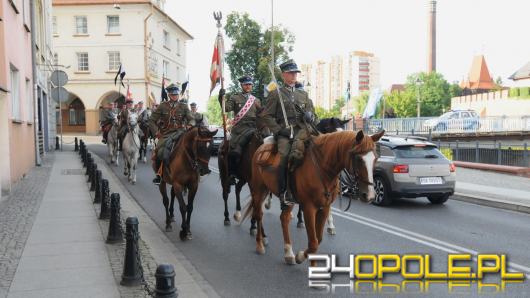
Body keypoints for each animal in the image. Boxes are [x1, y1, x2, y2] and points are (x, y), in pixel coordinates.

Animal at [241, 129, 382, 264]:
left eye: (375, 158)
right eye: (359, 158)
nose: (369, 196)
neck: (323, 168)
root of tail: (261, 148)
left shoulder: (324, 207)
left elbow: (318, 239)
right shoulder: (309, 208)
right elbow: (313, 243)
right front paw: (300, 257)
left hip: (286, 198)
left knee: (283, 218)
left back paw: (288, 253)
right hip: (259, 190)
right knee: (259, 214)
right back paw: (260, 244)